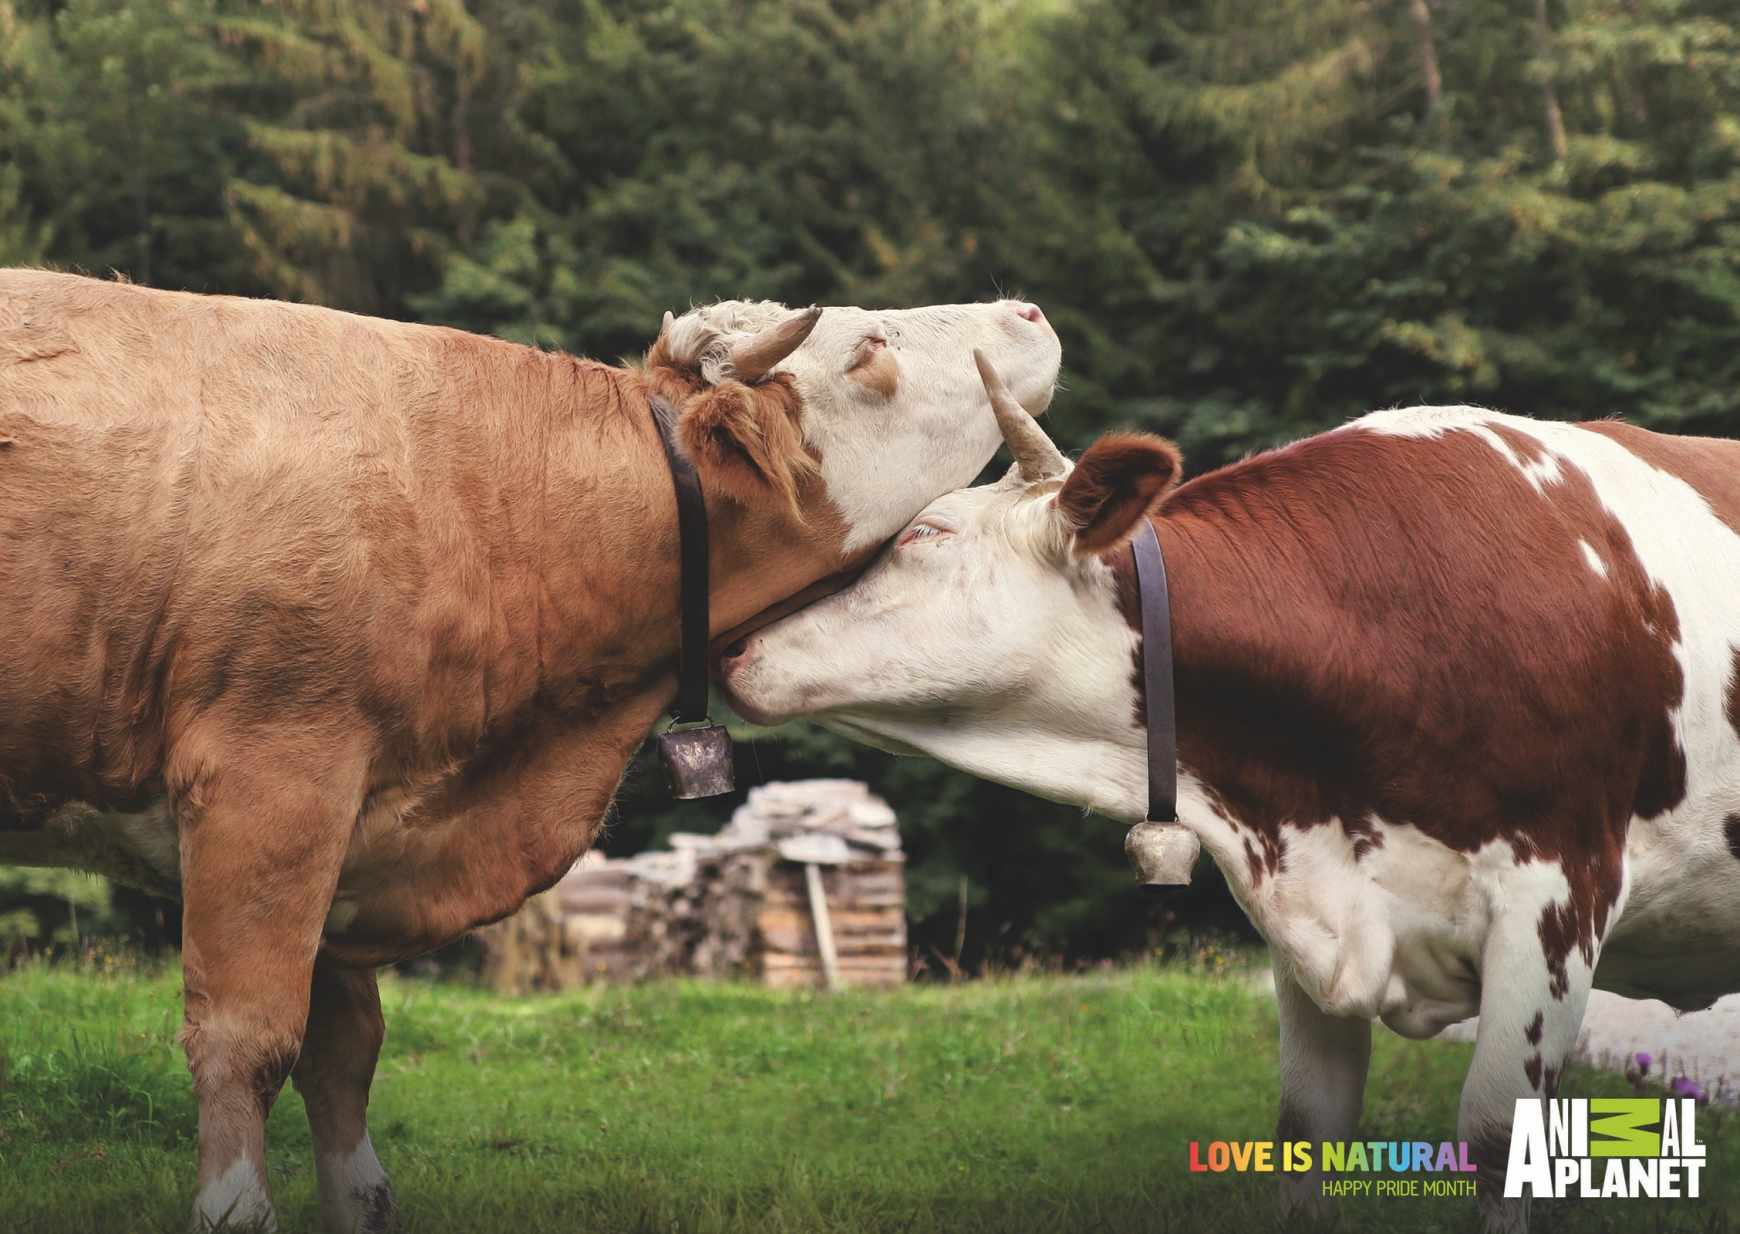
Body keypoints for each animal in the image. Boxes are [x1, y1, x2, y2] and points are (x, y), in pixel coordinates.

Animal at [0, 272, 1061, 1232]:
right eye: (869, 349)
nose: (1030, 308)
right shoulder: (272, 778)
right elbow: (246, 1037)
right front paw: (233, 1205)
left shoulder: (350, 824)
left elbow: (345, 1052)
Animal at [721, 354, 1740, 1231]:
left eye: (923, 534)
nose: (732, 647)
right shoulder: (1306, 910)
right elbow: (1307, 1132)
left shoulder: (1556, 891)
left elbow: (1495, 1138)